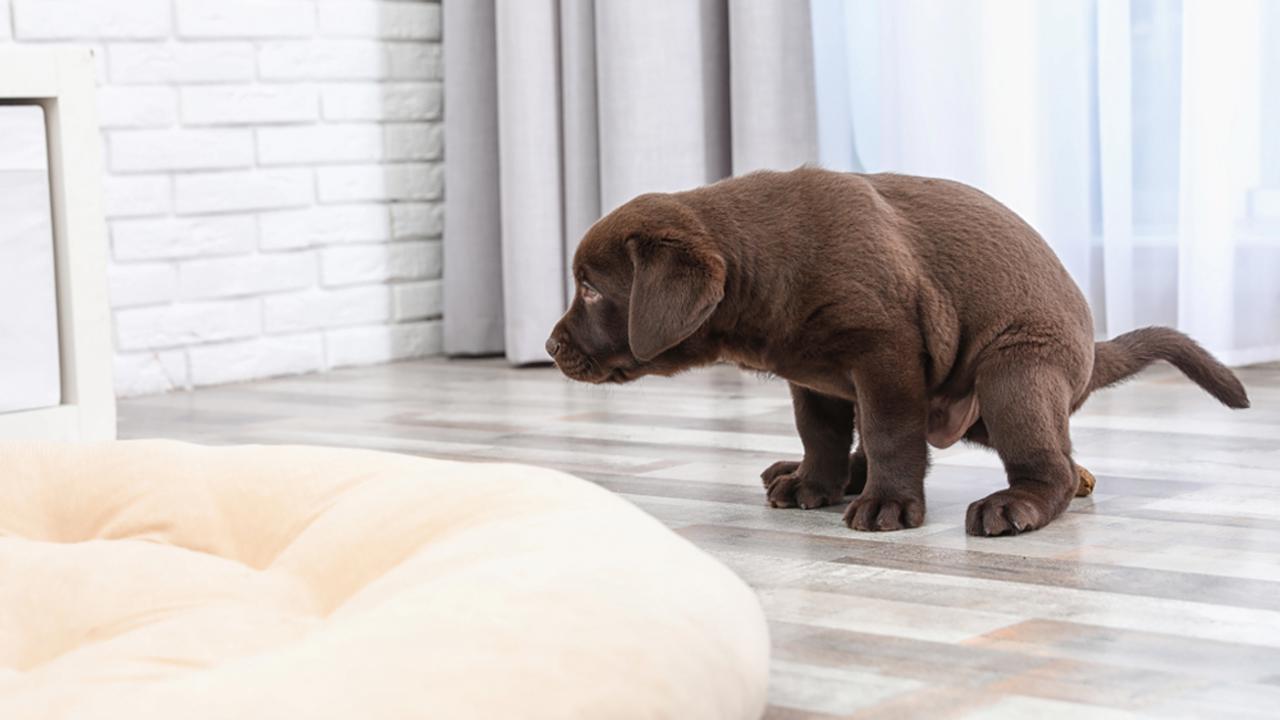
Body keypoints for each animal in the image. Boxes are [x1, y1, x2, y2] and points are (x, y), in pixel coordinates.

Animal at [542, 167, 1249, 532]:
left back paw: (1013, 504)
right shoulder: (816, 380)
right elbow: (821, 435)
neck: (765, 259)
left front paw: (888, 503)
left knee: (1052, 466)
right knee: (1064, 460)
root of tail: (1086, 358)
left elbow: (889, 433)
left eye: (591, 288)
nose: (549, 346)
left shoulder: (885, 355)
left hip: (1014, 372)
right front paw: (816, 483)